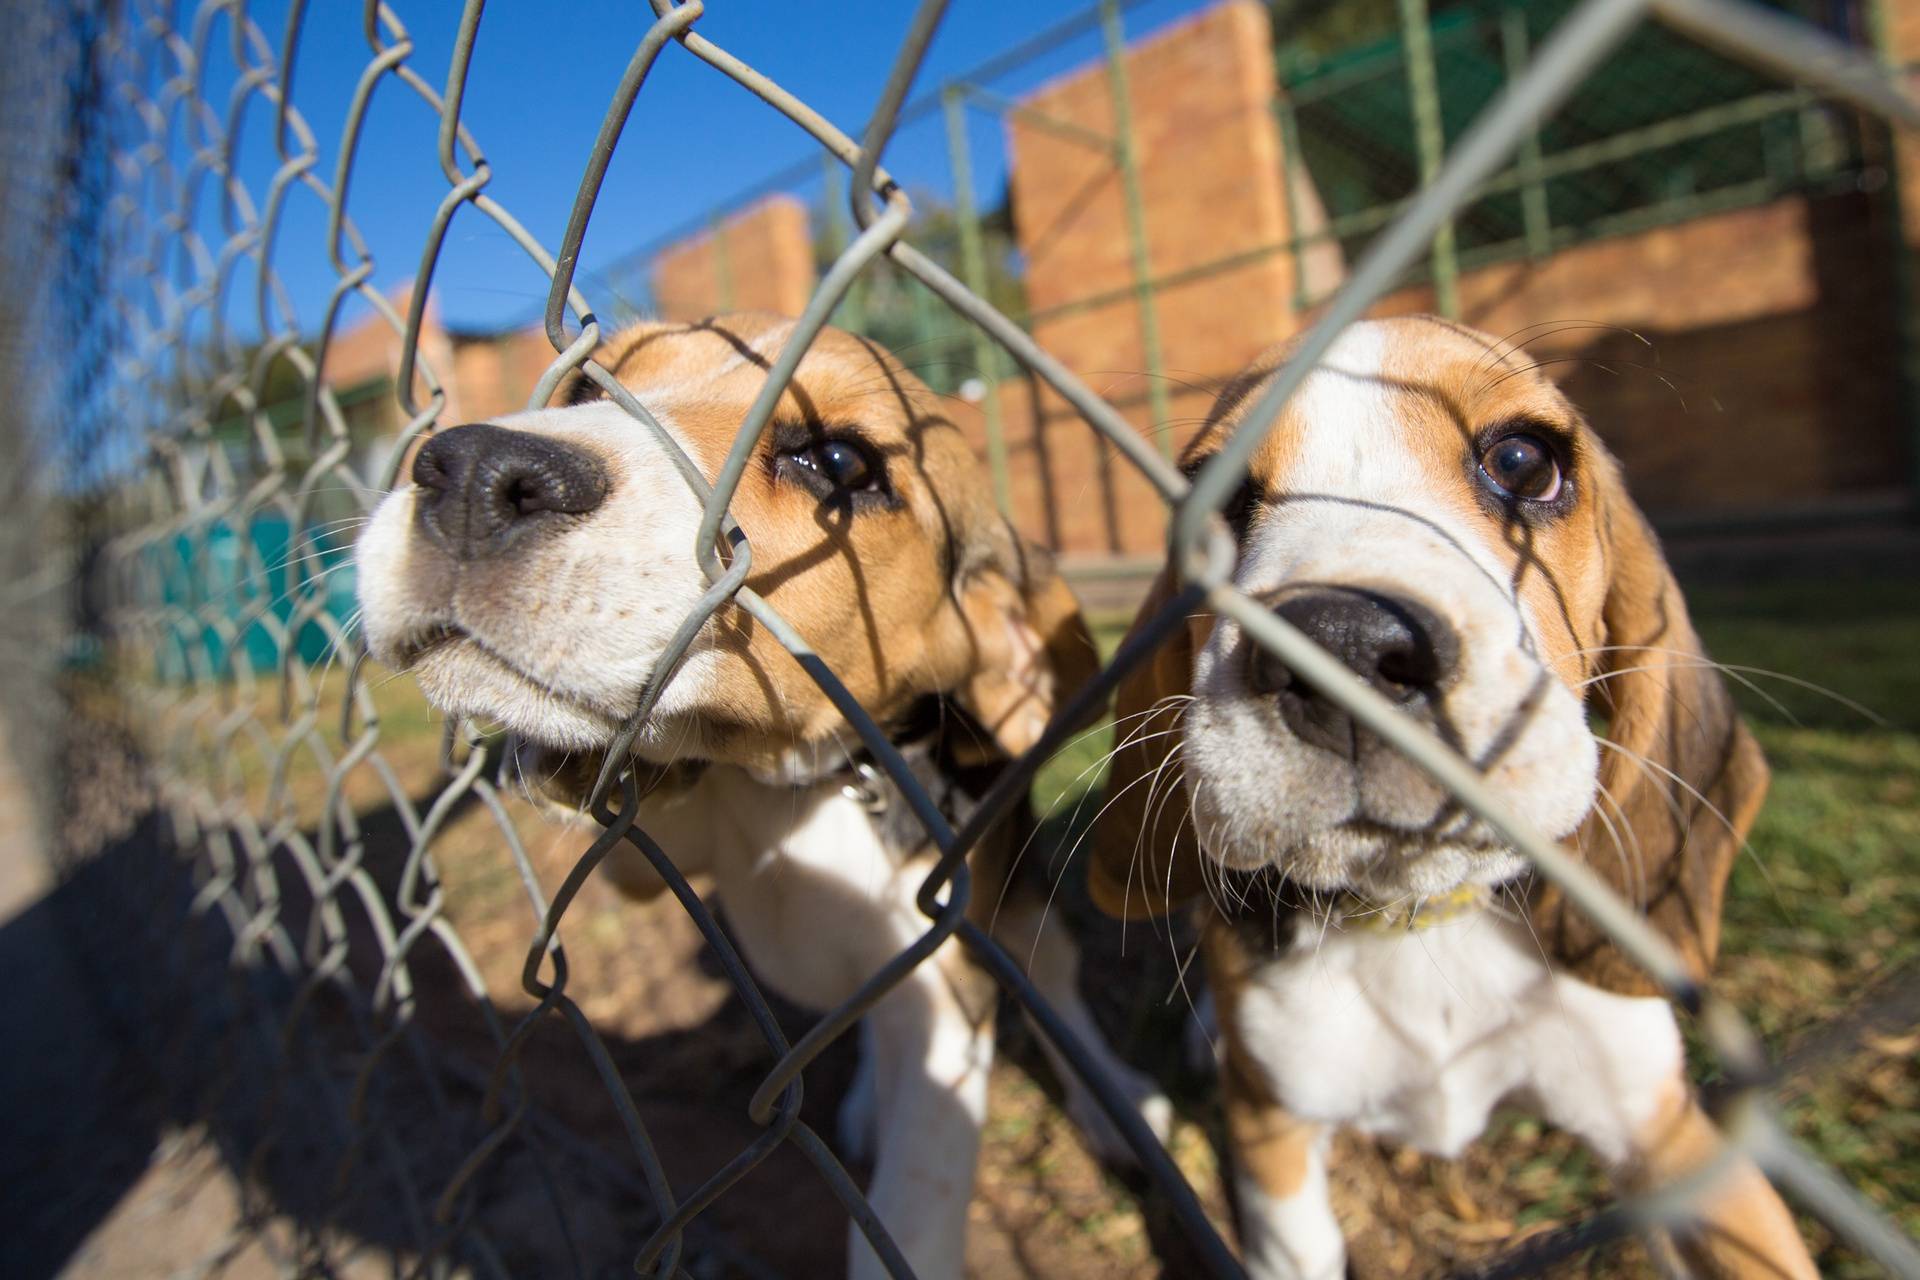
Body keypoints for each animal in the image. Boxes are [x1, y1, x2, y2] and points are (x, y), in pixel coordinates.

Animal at [359, 312, 1159, 1280]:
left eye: (842, 464)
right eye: (587, 387)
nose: (475, 471)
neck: (802, 787)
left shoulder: (949, 988)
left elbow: (915, 1201)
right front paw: (582, 764)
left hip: (1015, 904)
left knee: (1054, 982)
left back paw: (1112, 1100)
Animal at [1098, 318, 1812, 1280]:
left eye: (1522, 460)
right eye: (1214, 508)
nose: (1342, 643)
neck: (1421, 922)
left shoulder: (1671, 1137)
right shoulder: (1275, 1147)